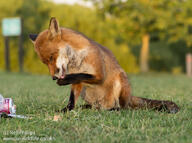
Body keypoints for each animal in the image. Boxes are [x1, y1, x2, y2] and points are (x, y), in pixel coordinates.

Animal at [29, 17, 179, 113]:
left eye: (51, 57)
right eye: (45, 62)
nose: (53, 77)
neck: (77, 62)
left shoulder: (99, 74)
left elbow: (80, 75)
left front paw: (63, 81)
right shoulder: (77, 84)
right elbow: (72, 99)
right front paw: (65, 110)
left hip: (121, 81)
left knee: (124, 108)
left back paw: (114, 109)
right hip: (86, 94)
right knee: (95, 106)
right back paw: (87, 108)